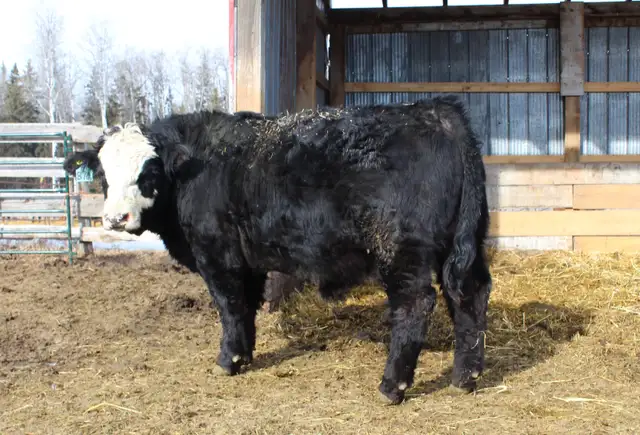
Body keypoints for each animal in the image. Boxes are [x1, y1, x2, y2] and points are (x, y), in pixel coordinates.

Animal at [63, 96, 492, 404]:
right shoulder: (246, 261)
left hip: (401, 249)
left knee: (415, 305)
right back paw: (465, 377)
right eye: (103, 175)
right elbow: (247, 305)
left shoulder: (217, 254)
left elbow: (230, 306)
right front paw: (244, 355)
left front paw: (228, 361)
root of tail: (436, 111)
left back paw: (392, 386)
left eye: (148, 172)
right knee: (470, 294)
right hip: (465, 244)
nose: (115, 218)